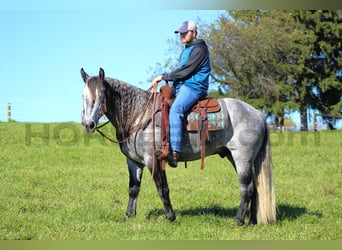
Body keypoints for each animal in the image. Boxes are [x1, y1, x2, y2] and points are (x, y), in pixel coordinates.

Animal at [79, 68, 276, 225]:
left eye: (101, 95)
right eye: (83, 96)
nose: (88, 124)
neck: (138, 115)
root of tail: (258, 113)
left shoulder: (153, 160)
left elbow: (162, 189)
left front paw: (170, 217)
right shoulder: (133, 161)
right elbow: (133, 189)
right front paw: (128, 216)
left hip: (242, 158)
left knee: (247, 187)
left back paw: (238, 220)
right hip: (235, 157)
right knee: (255, 187)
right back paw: (252, 220)